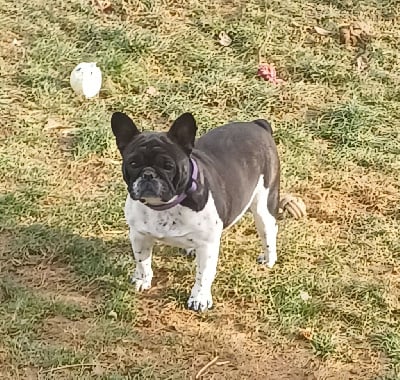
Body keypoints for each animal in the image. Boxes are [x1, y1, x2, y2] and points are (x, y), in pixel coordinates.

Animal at [111, 110, 280, 312]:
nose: (148, 174)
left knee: (269, 230)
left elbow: (203, 274)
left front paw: (199, 298)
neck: (164, 206)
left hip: (263, 205)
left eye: (168, 166)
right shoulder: (139, 235)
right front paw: (142, 280)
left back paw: (269, 259)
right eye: (133, 163)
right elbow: (142, 260)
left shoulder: (208, 246)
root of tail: (257, 125)